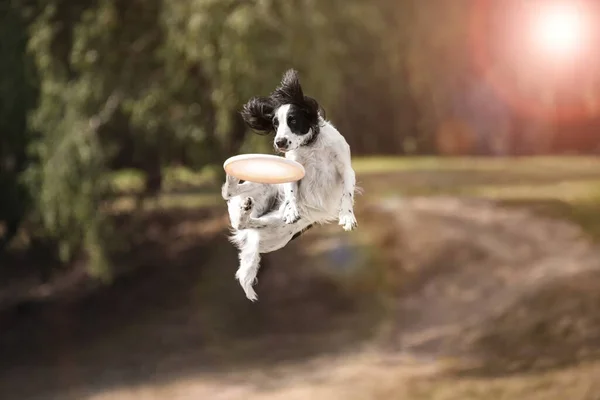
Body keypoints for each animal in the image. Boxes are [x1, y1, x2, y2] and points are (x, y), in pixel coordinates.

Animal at [223, 69, 358, 300]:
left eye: (293, 120)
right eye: (275, 124)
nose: (279, 142)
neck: (311, 145)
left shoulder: (346, 170)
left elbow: (346, 194)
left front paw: (347, 217)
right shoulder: (292, 171)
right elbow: (293, 191)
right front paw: (292, 209)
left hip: (275, 230)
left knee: (245, 221)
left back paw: (245, 205)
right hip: (267, 187)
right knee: (231, 200)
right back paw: (238, 187)